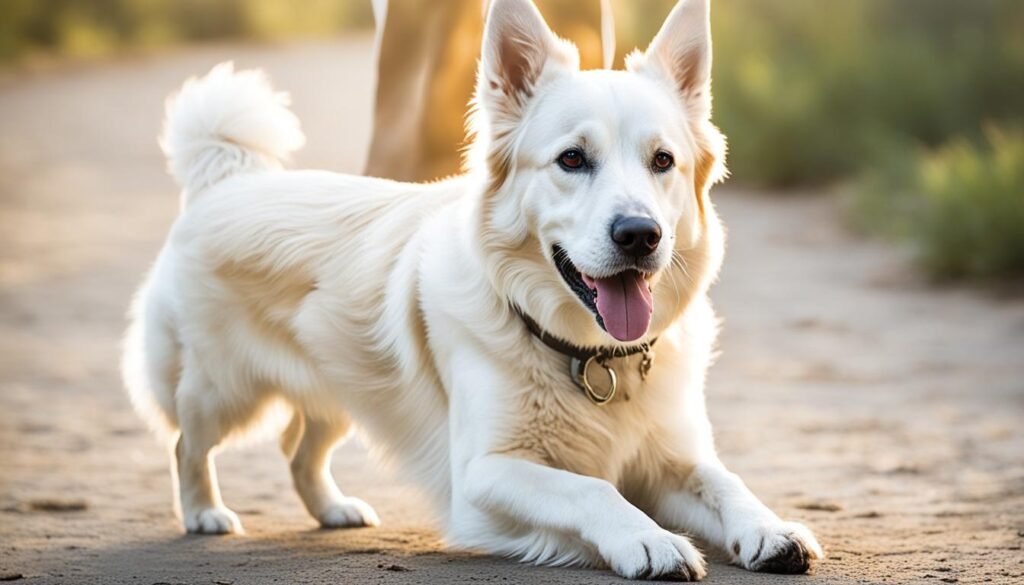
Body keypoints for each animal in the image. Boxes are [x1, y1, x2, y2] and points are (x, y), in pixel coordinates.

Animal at [121, 0, 823, 577]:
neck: (583, 356)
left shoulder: (668, 458)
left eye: (663, 161)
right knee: (188, 441)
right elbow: (591, 488)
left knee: (299, 450)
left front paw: (770, 529)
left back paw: (334, 509)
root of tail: (228, 178)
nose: (639, 235)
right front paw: (648, 540)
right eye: (572, 159)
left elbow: (725, 482)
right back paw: (204, 513)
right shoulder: (484, 473)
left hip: (341, 388)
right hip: (224, 389)